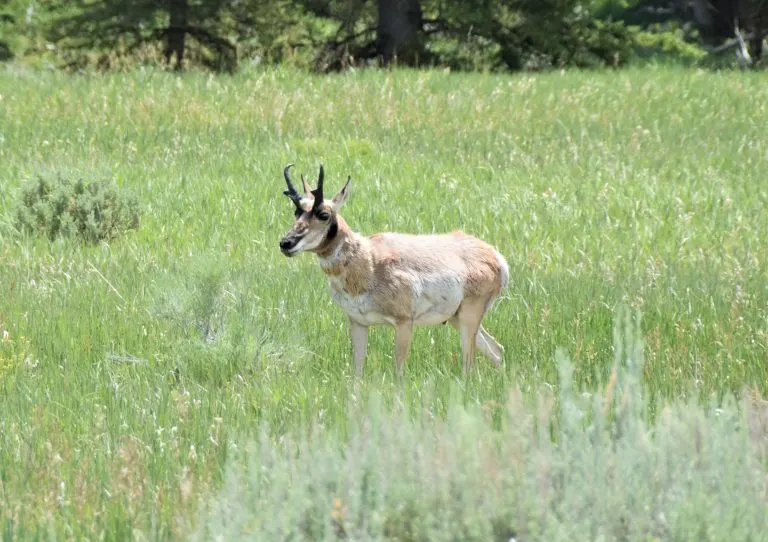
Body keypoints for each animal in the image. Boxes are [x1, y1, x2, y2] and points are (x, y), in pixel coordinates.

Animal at [278, 165, 510, 378]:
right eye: (297, 212)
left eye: (324, 214)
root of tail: (494, 255)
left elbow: (398, 372)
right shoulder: (358, 322)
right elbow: (357, 371)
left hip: (469, 316)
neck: (369, 261)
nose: (285, 243)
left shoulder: (404, 323)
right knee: (497, 350)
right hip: (457, 317)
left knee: (469, 364)